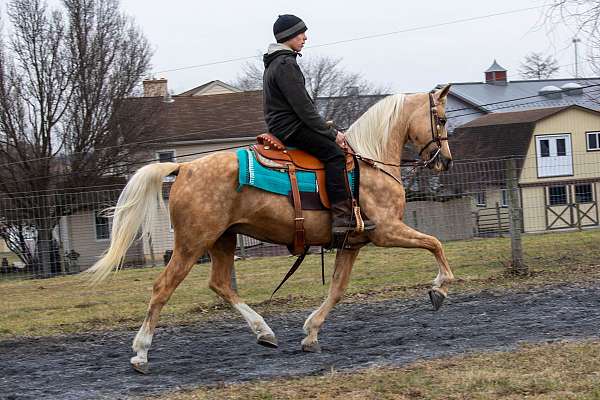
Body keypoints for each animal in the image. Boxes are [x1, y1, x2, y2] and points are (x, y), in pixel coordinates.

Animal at [88, 83, 454, 372]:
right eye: (442, 119)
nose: (446, 161)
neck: (371, 162)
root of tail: (185, 168)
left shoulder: (351, 244)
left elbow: (337, 290)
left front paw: (310, 334)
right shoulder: (387, 230)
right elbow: (435, 243)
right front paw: (439, 289)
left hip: (222, 240)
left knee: (220, 284)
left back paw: (264, 332)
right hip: (191, 245)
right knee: (163, 288)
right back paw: (141, 354)